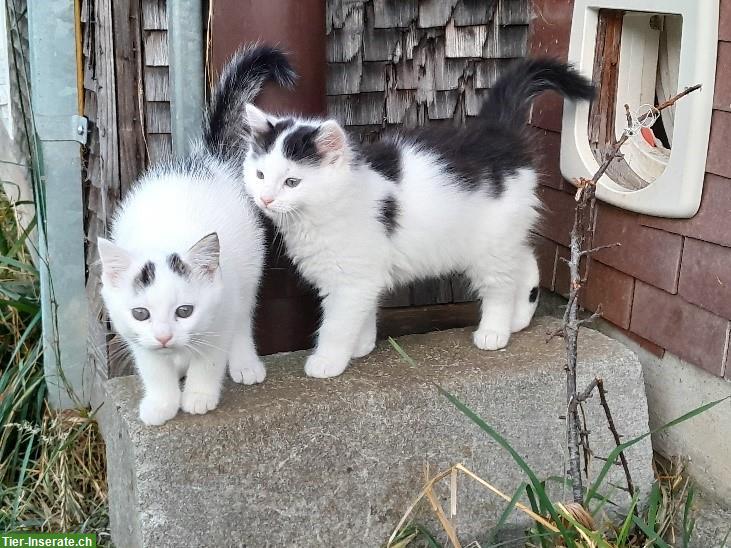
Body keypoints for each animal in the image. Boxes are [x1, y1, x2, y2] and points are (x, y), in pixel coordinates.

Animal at [98, 46, 296, 424]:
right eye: (141, 314)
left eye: (184, 311)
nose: (164, 337)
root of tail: (208, 161)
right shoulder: (134, 334)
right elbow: (153, 366)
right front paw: (161, 402)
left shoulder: (219, 309)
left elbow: (210, 358)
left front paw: (199, 396)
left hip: (248, 269)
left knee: (243, 315)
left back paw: (245, 363)